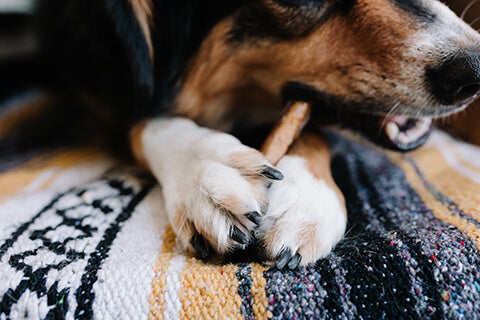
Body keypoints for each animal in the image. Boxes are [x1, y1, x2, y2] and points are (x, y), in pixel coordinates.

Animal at [37, 0, 480, 268]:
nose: (473, 68)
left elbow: (307, 123)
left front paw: (304, 196)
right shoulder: (102, 95)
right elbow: (147, 121)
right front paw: (204, 172)